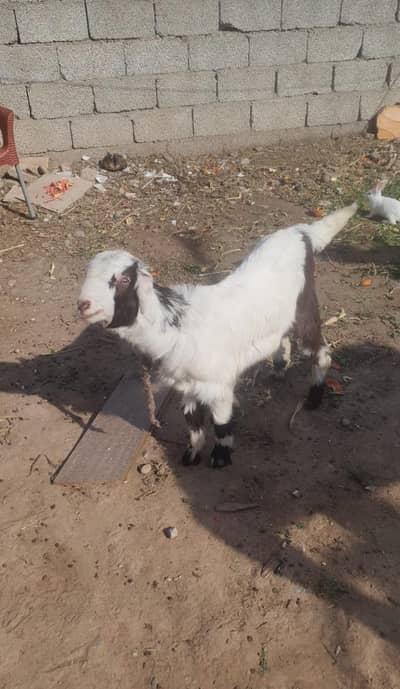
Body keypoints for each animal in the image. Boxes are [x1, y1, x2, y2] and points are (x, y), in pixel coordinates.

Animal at [78, 202, 357, 469]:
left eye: (124, 279)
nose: (83, 304)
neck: (177, 324)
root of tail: (301, 233)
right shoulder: (187, 387)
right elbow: (193, 424)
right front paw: (191, 455)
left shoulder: (219, 384)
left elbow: (221, 423)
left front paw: (221, 457)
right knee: (283, 337)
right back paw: (280, 367)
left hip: (305, 307)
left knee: (320, 350)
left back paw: (314, 397)